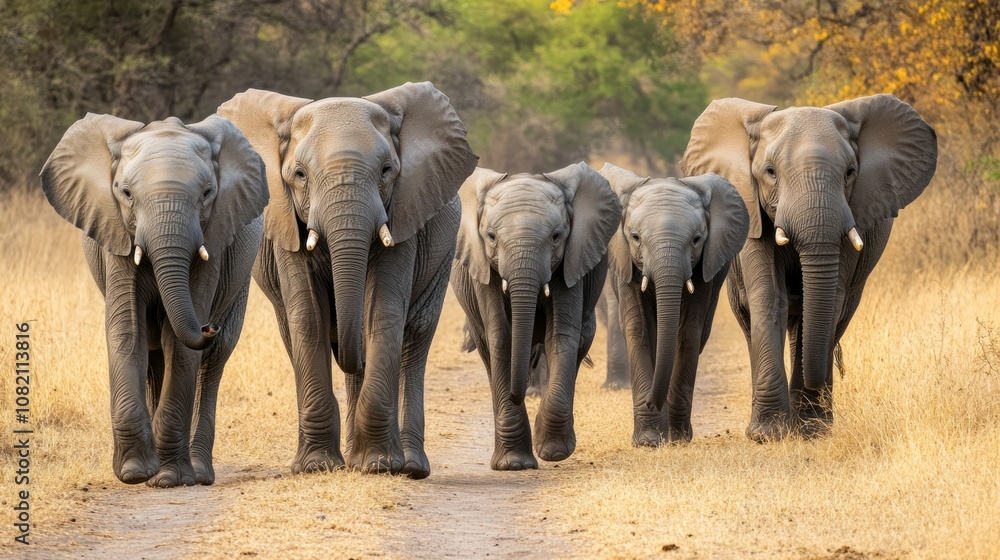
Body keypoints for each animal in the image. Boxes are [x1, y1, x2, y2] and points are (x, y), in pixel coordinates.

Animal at [40, 114, 268, 486]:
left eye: (207, 194)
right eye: (126, 193)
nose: (209, 326)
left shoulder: (214, 238)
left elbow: (180, 343)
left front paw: (170, 478)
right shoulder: (115, 232)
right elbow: (127, 331)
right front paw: (135, 473)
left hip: (241, 280)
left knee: (213, 362)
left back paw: (197, 473)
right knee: (152, 351)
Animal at [218, 82, 477, 479]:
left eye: (387, 170)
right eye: (299, 175)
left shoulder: (403, 211)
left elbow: (382, 311)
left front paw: (381, 466)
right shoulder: (287, 221)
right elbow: (308, 316)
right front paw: (315, 467)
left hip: (443, 251)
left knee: (415, 335)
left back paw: (407, 466)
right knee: (295, 330)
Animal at [451, 163, 621, 470]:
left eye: (556, 237)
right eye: (491, 236)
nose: (519, 393)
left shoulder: (572, 261)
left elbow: (561, 336)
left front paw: (553, 452)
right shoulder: (482, 267)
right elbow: (501, 339)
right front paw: (513, 464)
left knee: (579, 341)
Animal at [600, 163, 749, 446]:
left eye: (697, 239)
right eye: (635, 237)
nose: (651, 403)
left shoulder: (705, 267)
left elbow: (688, 331)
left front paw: (677, 438)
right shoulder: (624, 263)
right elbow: (638, 328)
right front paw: (648, 441)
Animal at [680, 94, 937, 441]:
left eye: (851, 172)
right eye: (770, 172)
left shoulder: (854, 215)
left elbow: (829, 303)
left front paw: (810, 430)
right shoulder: (753, 211)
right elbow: (769, 296)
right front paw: (768, 434)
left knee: (833, 314)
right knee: (751, 319)